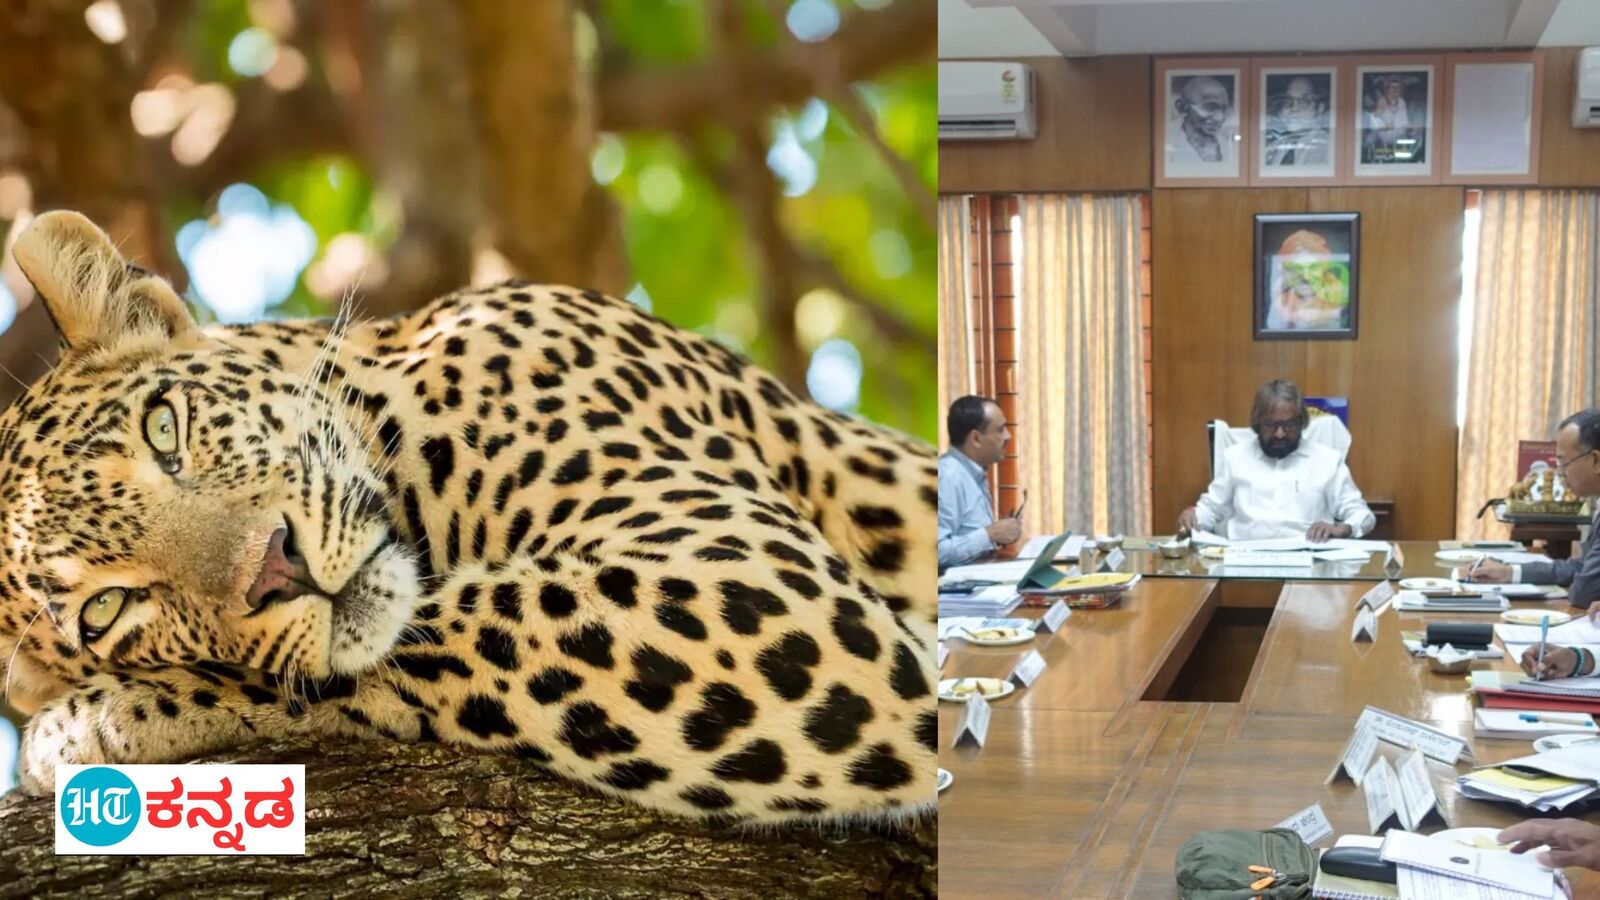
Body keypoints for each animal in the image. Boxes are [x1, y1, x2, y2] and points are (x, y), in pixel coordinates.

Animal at [0, 210, 937, 824]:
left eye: (166, 427)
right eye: (106, 609)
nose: (277, 567)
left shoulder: (749, 581)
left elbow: (460, 624)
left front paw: (95, 720)